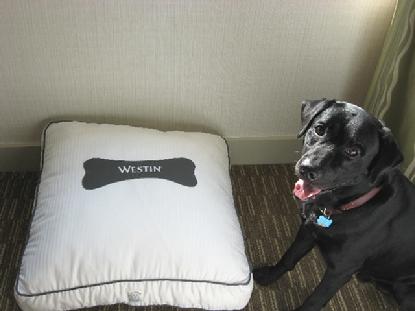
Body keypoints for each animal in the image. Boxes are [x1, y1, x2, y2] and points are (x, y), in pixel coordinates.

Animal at [254, 100, 415, 311]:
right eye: (319, 129)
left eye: (354, 151)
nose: (306, 168)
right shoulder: (307, 231)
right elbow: (288, 258)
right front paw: (269, 275)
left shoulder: (340, 271)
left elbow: (316, 299)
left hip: (406, 292)